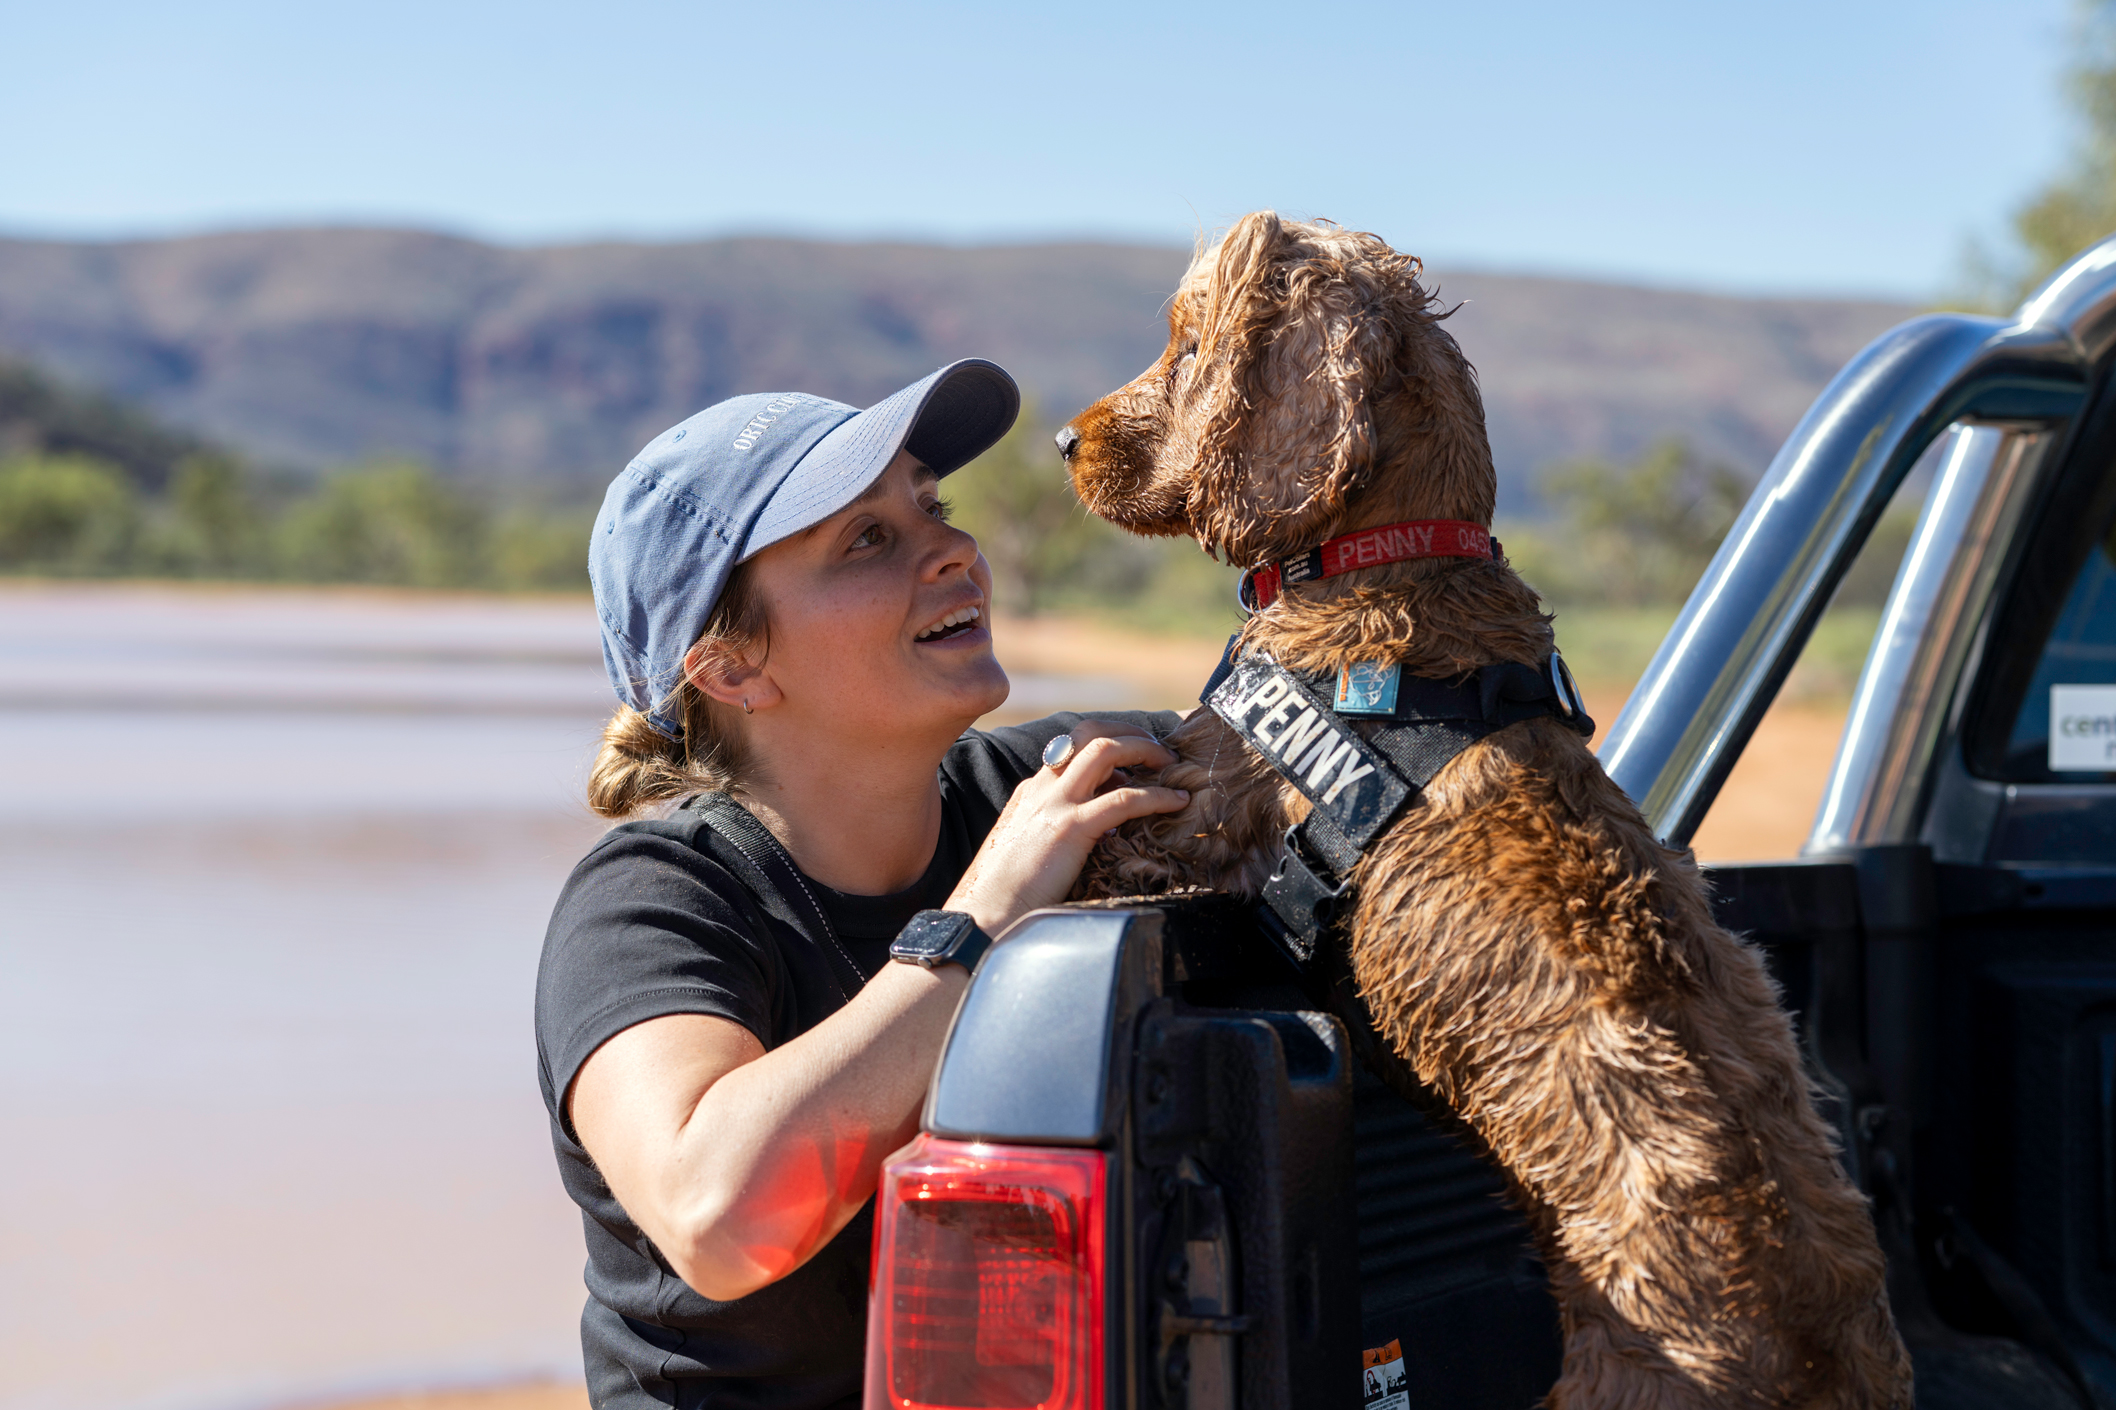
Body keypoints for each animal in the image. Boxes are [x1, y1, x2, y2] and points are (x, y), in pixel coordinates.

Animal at [1066, 211, 1912, 1405]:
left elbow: (1108, 803)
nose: (1060, 439)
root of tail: (1814, 1348)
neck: (1393, 558)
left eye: (1189, 350)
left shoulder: (1206, 802)